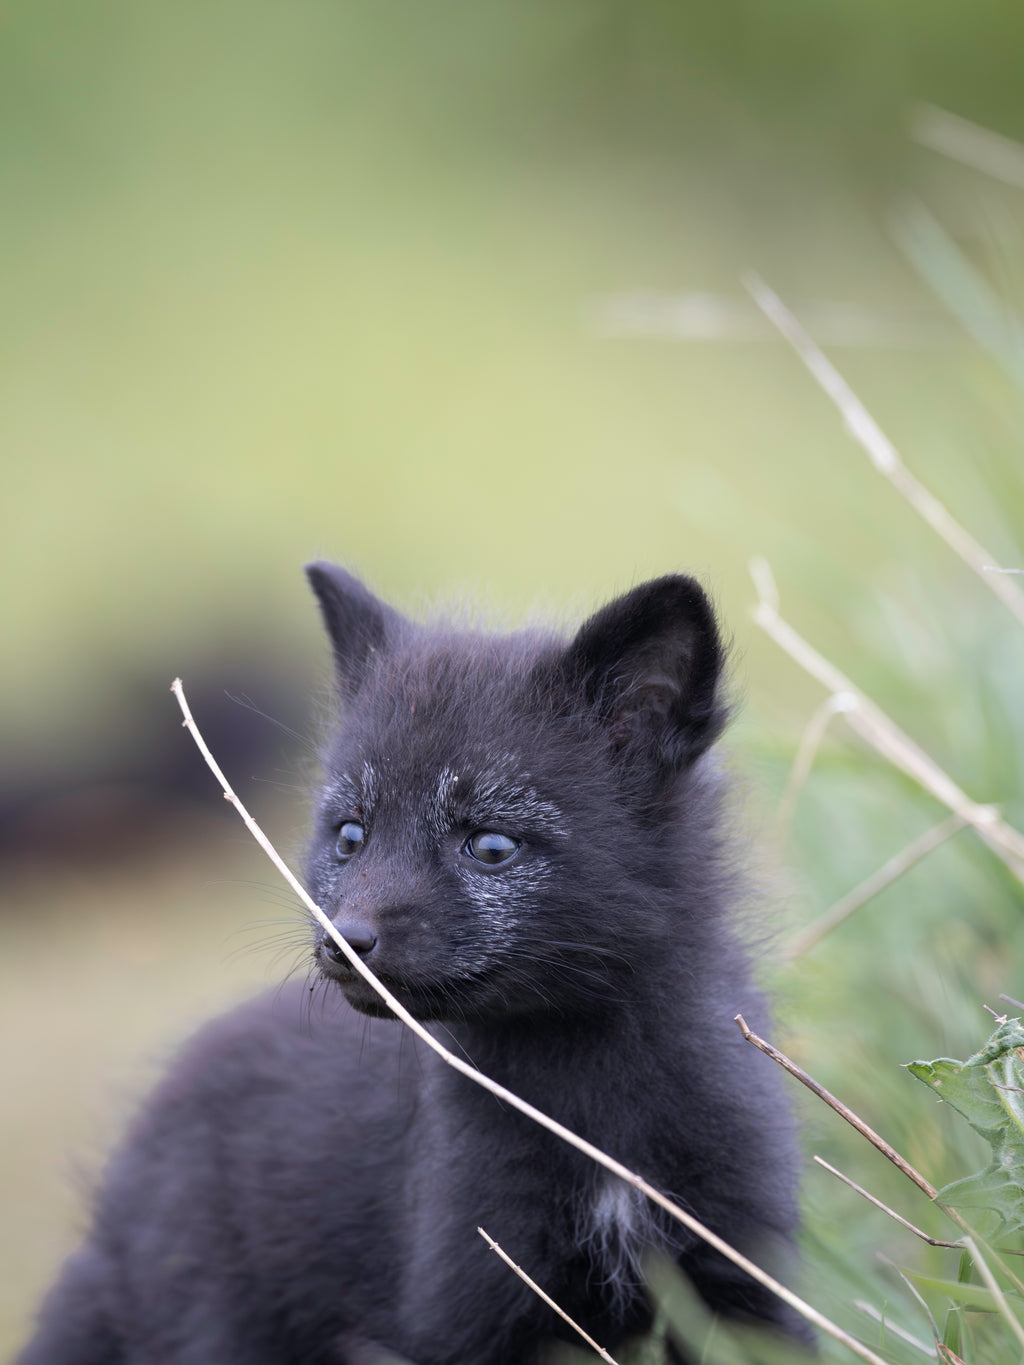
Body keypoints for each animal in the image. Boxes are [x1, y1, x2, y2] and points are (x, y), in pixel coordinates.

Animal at [18, 564, 808, 1364]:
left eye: (490, 845)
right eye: (350, 836)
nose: (343, 941)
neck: (591, 1110)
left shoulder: (743, 1278)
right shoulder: (467, 1308)